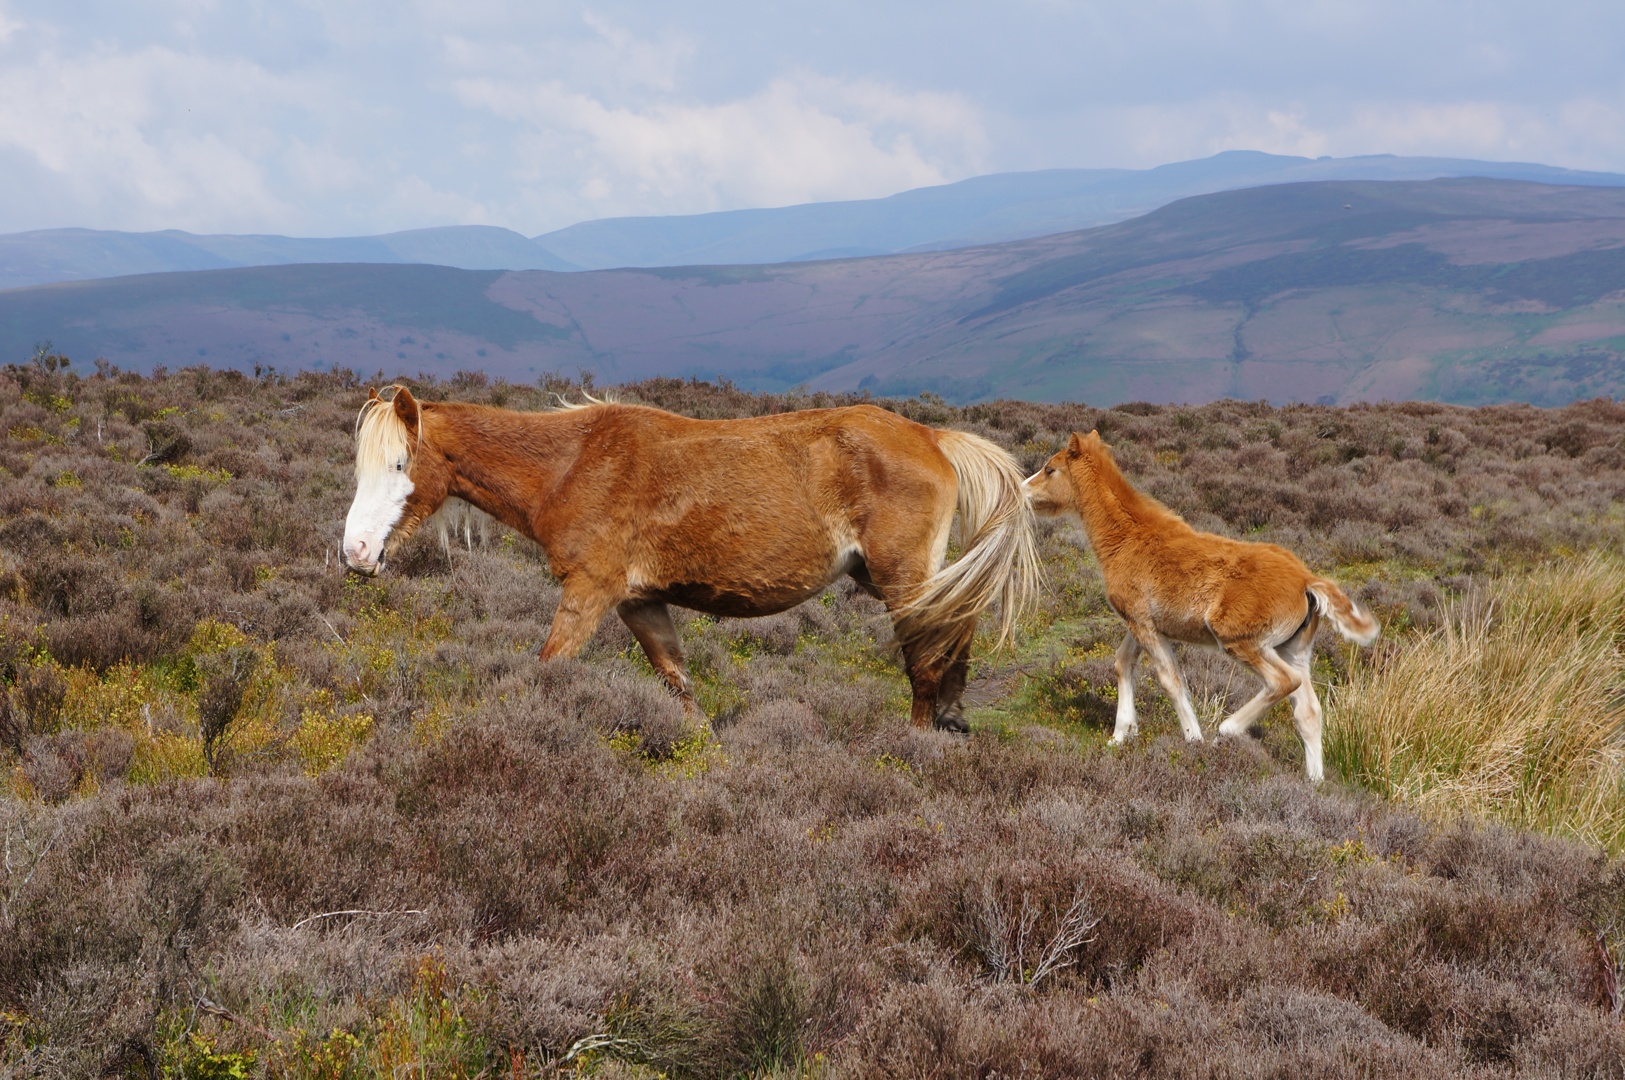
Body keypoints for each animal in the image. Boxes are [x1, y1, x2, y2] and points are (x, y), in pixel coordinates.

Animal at [342, 383, 1040, 727]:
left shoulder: (589, 592)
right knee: (956, 629)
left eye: (399, 463)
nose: (356, 553)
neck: (572, 463)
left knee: (925, 657)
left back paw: (920, 737)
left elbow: (549, 666)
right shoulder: (639, 603)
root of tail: (934, 437)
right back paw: (953, 718)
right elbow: (679, 685)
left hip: (903, 579)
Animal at [1027, 432, 1371, 782]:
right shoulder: (1140, 623)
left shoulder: (1143, 624)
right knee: (1308, 711)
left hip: (1241, 641)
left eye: (1050, 469)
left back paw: (1226, 731)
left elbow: (1171, 680)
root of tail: (1306, 579)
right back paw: (1314, 781)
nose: (1023, 491)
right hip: (1294, 650)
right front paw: (1120, 735)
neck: (1129, 537)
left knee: (1282, 682)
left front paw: (1193, 739)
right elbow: (1123, 663)